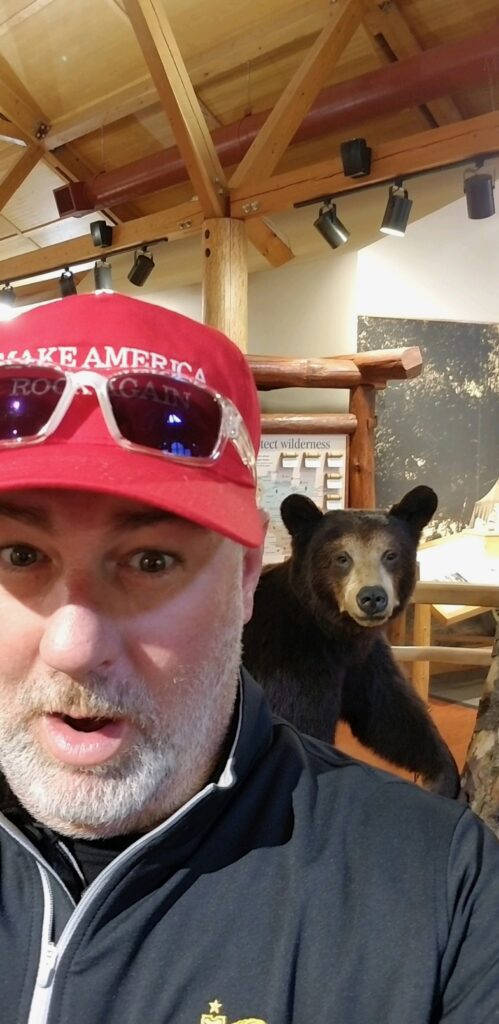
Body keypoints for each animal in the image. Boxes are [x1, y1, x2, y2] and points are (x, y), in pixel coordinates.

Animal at [242, 487, 461, 798]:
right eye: (342, 557)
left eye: (390, 555)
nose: (372, 597)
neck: (334, 634)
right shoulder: (290, 661)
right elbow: (301, 723)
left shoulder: (364, 660)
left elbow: (390, 713)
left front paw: (441, 774)